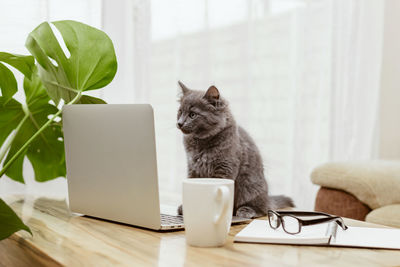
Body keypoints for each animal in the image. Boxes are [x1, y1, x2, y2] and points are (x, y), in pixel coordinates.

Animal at [175, 80, 294, 219]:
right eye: (180, 112)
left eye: (192, 114)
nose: (179, 123)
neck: (201, 142)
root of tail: (268, 198)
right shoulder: (193, 168)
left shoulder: (224, 167)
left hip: (250, 186)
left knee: (262, 209)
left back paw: (246, 210)